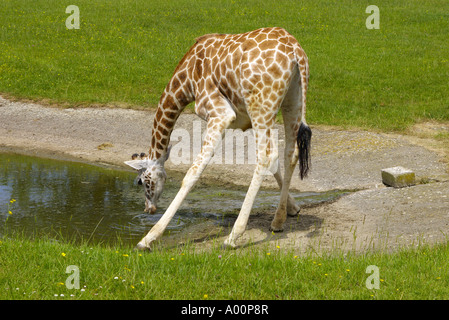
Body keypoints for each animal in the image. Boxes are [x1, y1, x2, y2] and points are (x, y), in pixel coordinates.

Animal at [124, 27, 310, 250]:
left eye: (142, 181)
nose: (148, 209)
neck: (186, 80)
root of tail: (296, 52)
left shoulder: (220, 114)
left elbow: (192, 173)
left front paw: (148, 238)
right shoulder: (243, 118)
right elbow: (276, 166)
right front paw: (294, 208)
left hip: (261, 105)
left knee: (266, 156)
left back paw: (233, 237)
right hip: (291, 100)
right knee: (290, 152)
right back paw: (278, 221)